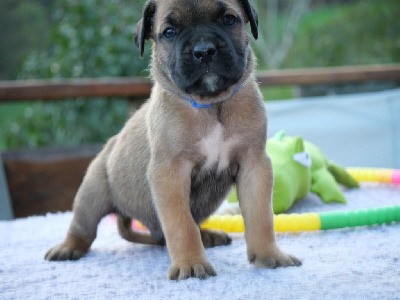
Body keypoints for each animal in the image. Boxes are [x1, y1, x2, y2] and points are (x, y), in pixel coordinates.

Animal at [45, 0, 300, 278]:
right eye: (169, 32)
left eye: (229, 19)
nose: (204, 51)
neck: (211, 105)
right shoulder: (170, 173)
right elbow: (181, 224)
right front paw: (190, 263)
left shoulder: (254, 166)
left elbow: (261, 216)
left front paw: (268, 255)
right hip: (92, 194)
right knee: (83, 228)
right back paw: (68, 248)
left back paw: (207, 235)